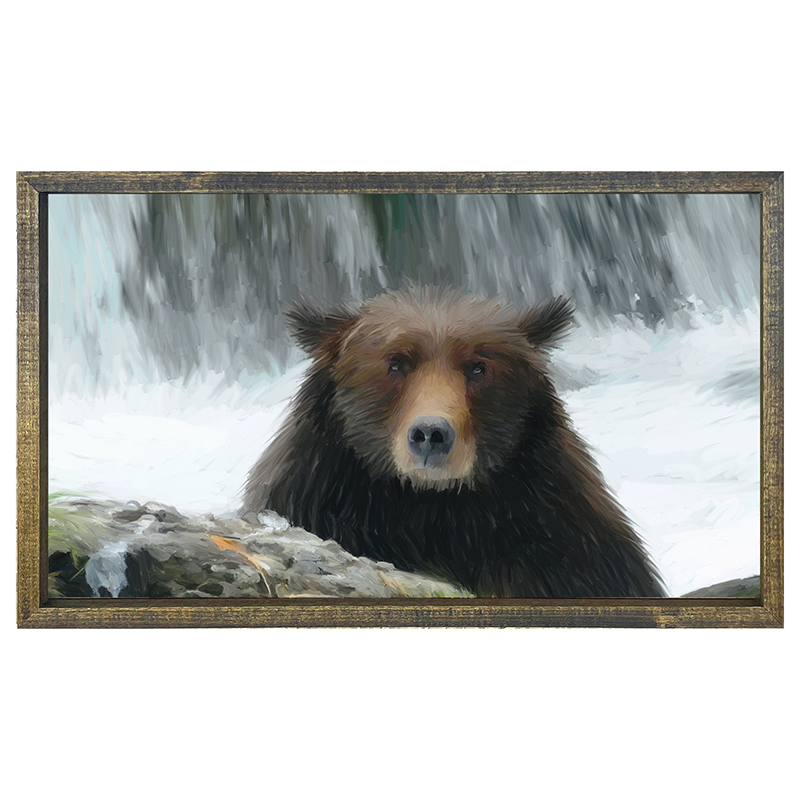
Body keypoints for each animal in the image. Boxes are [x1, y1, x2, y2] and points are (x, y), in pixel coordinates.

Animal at [243, 286, 665, 598]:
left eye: (478, 367)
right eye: (396, 362)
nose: (431, 434)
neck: (433, 508)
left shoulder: (560, 539)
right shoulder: (317, 496)